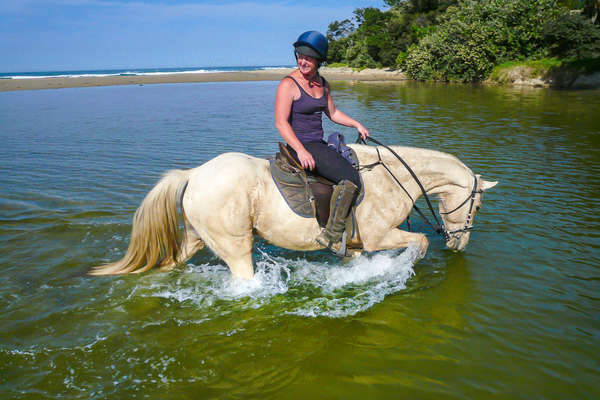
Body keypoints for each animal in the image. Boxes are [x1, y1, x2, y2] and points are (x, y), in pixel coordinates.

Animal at [91, 145, 500, 280]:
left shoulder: (355, 245)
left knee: (170, 262)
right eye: (477, 204)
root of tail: (194, 174)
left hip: (195, 238)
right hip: (234, 246)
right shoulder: (379, 235)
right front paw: (396, 269)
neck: (393, 178)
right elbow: (418, 244)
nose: (459, 244)